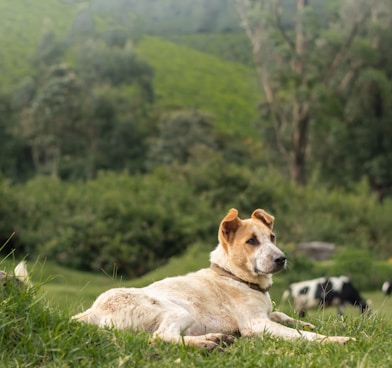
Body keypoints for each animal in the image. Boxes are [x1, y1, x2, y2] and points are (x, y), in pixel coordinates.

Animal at [72, 208, 352, 350]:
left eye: (272, 237)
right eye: (252, 241)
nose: (281, 259)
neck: (235, 277)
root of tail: (92, 311)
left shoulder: (267, 314)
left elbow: (283, 315)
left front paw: (307, 323)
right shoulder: (255, 324)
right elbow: (298, 335)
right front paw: (335, 340)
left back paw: (215, 339)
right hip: (176, 310)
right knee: (161, 336)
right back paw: (207, 342)